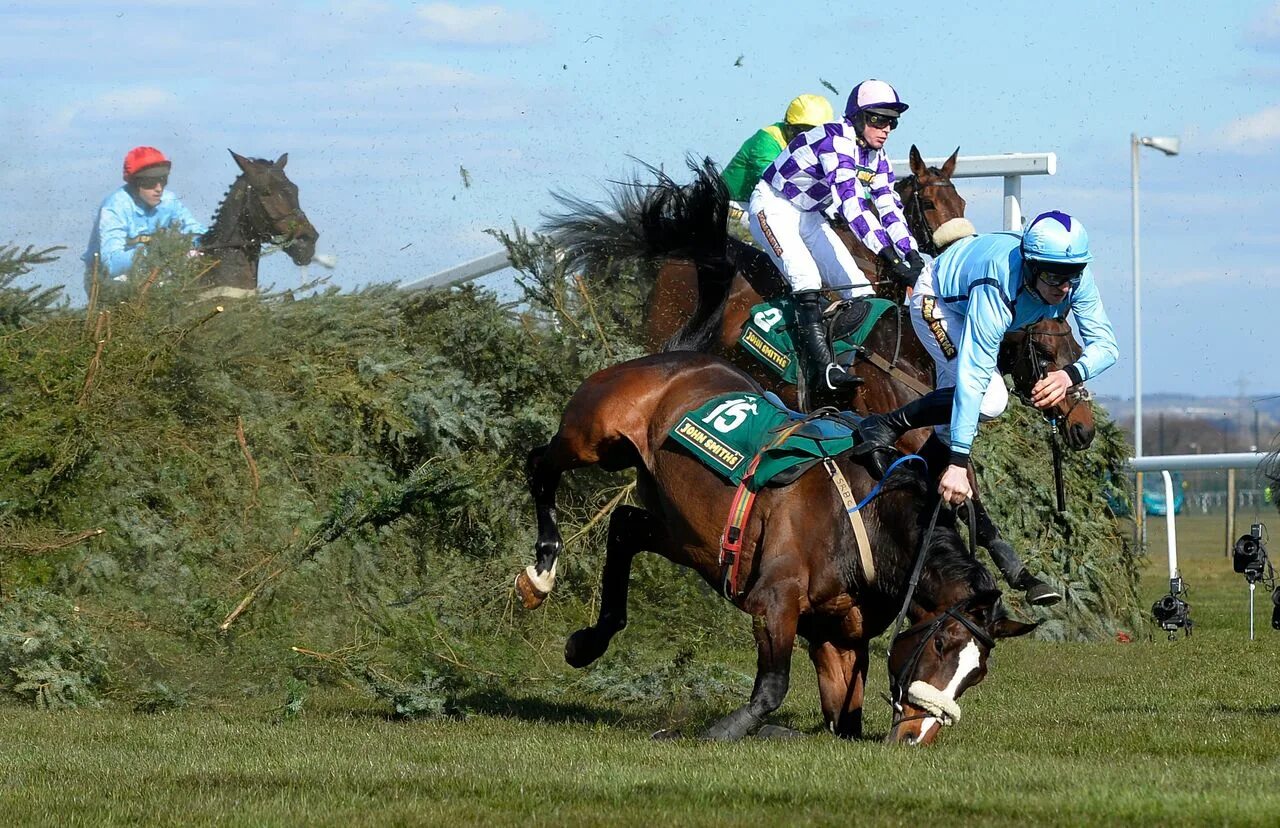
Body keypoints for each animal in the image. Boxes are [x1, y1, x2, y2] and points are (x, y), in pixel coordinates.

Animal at [512, 350, 1029, 747]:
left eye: (976, 676)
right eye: (940, 644)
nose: (914, 737)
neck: (871, 521)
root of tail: (663, 358)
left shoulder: (839, 635)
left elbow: (845, 720)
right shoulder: (774, 601)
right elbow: (774, 686)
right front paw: (719, 732)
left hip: (684, 533)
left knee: (624, 526)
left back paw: (589, 640)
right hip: (593, 437)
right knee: (540, 464)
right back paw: (541, 570)